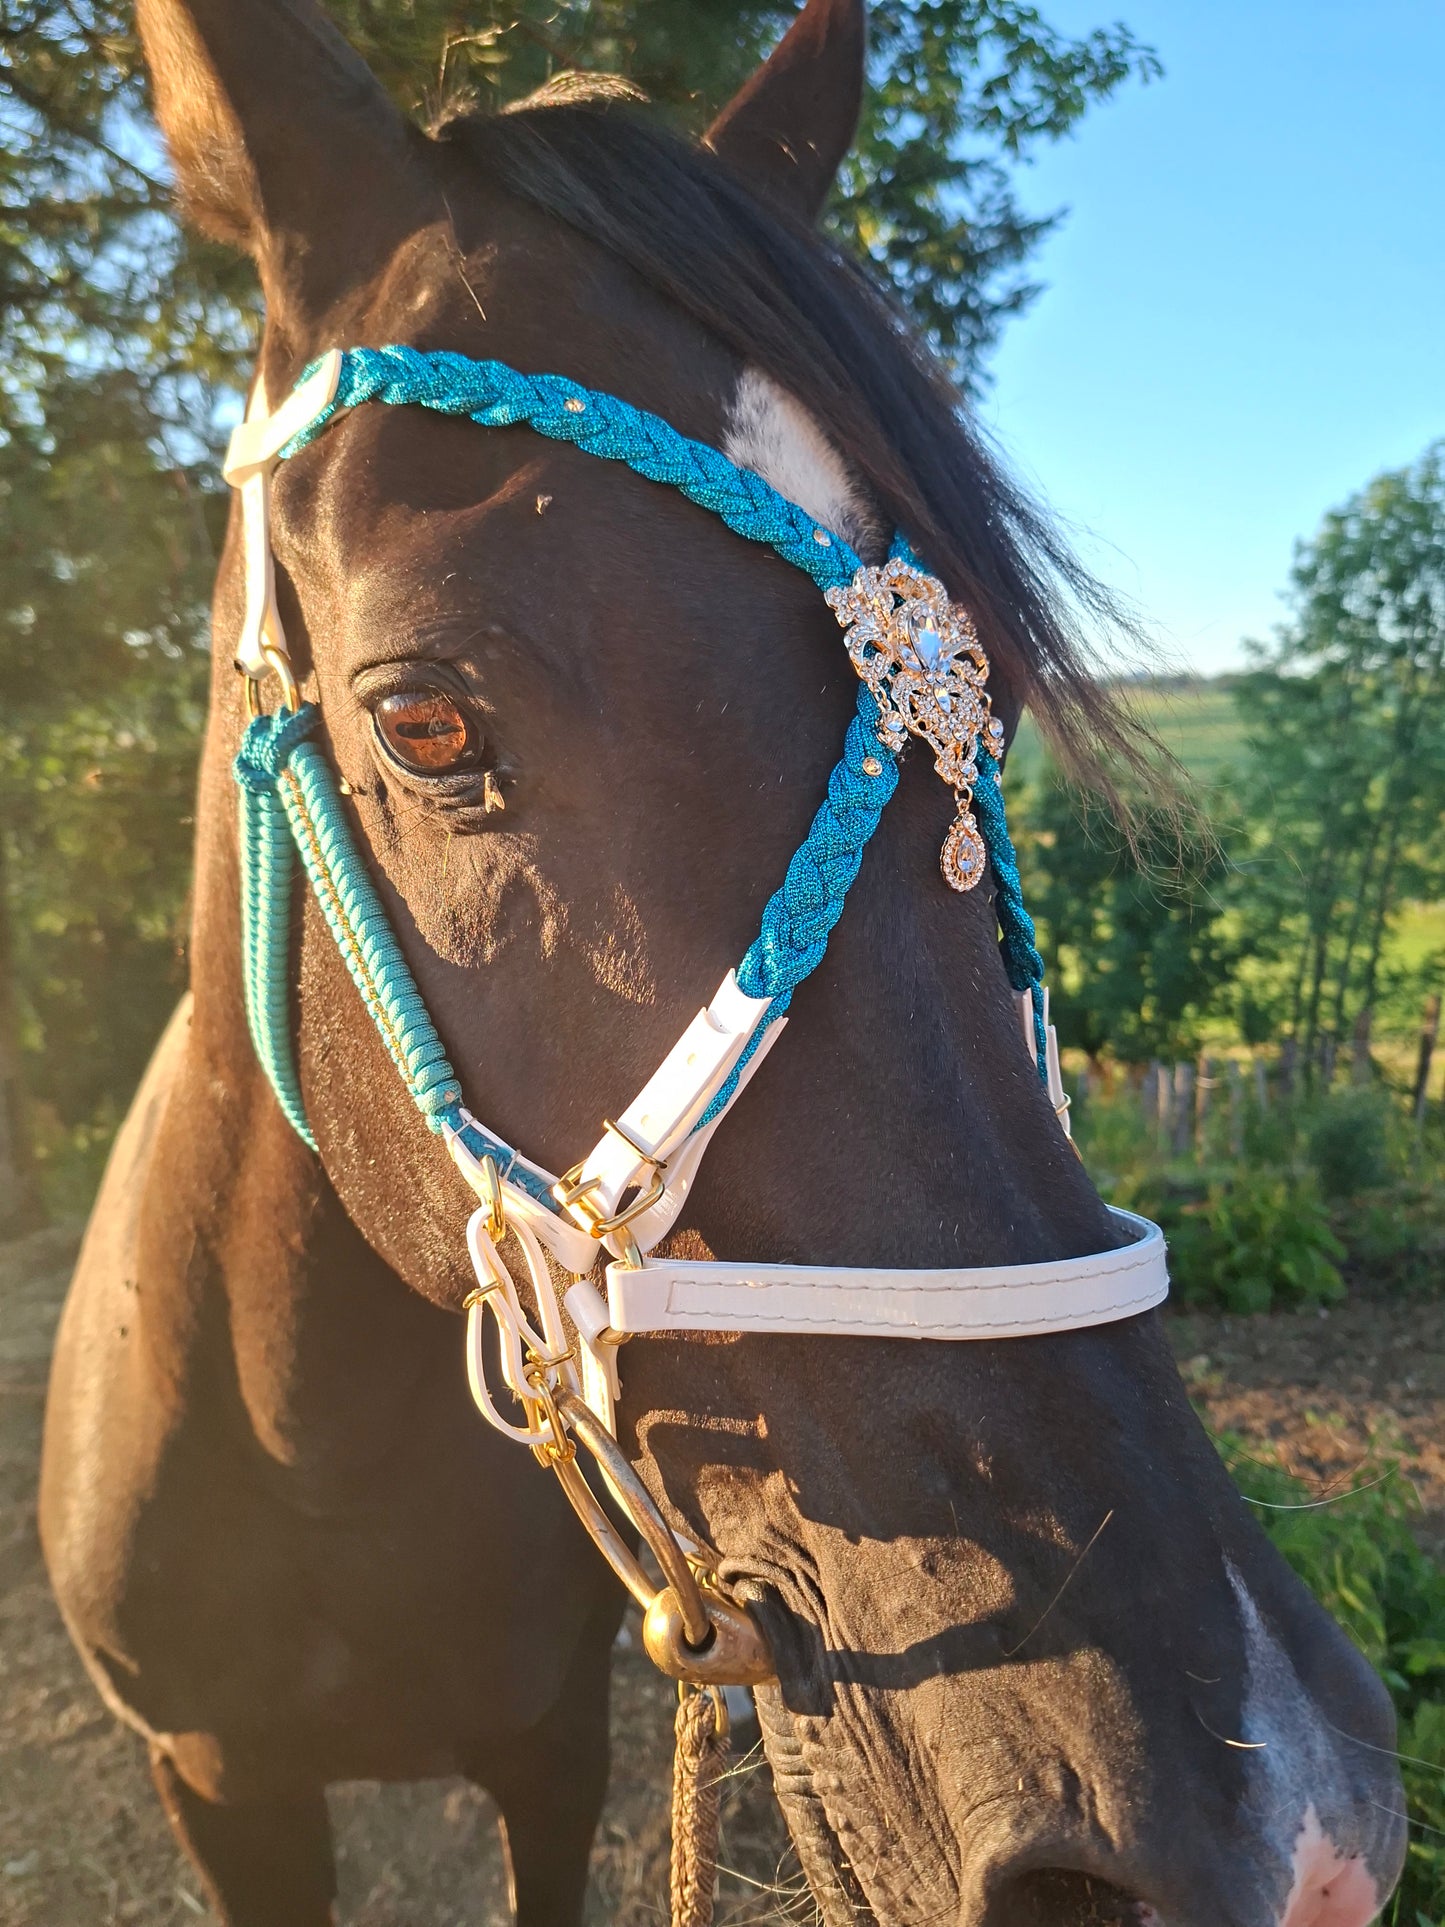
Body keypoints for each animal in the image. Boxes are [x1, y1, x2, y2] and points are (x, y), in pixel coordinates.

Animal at [39, 1, 1405, 1923]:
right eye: (426, 721)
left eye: (982, 705)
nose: (1278, 1816)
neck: (321, 1448)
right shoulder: (219, 1784)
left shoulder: (551, 1746)